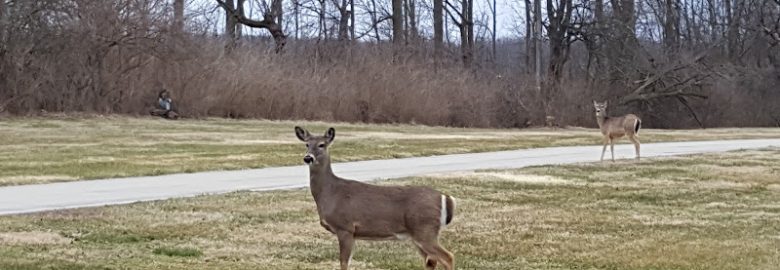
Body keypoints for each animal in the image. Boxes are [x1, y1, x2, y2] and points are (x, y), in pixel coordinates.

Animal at [296, 126, 460, 270]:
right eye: (306, 144)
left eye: (322, 145)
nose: (308, 158)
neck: (331, 193)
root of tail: (446, 197)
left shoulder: (346, 227)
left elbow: (344, 263)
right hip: (418, 234)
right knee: (431, 261)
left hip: (425, 229)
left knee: (448, 257)